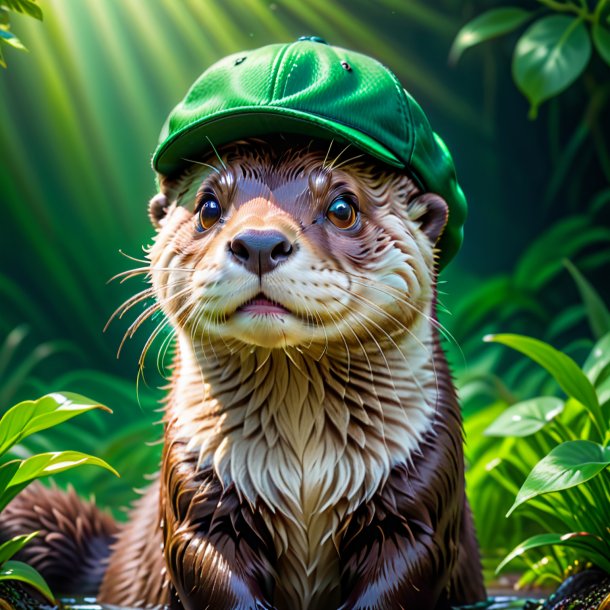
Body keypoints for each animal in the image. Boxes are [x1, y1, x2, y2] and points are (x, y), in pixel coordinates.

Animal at [0, 40, 484, 608]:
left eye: (343, 206)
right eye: (209, 206)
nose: (257, 242)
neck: (305, 478)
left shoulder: (420, 495)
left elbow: (403, 572)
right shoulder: (197, 492)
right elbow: (206, 565)